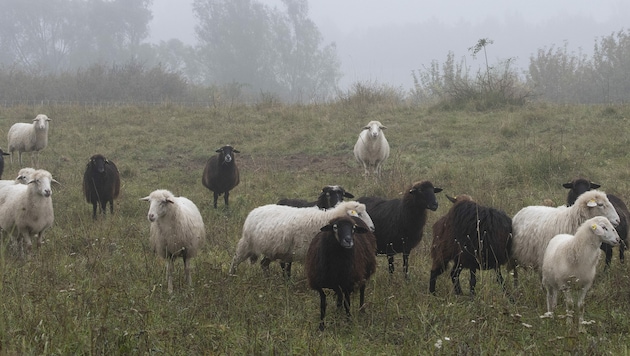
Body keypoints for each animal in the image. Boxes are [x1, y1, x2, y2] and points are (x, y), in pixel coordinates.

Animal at [227, 202, 376, 276]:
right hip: (247, 243)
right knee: (235, 260)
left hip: (272, 250)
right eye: (359, 214)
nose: (372, 228)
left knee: (264, 264)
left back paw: (267, 279)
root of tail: (255, 210)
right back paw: (231, 275)